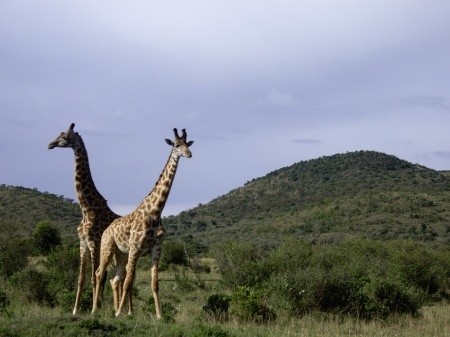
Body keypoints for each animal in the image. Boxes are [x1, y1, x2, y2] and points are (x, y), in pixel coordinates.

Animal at [48, 123, 120, 316]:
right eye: (58, 134)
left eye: (65, 137)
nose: (50, 145)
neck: (86, 208)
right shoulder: (82, 243)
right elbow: (80, 279)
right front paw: (75, 310)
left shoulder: (94, 242)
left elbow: (94, 277)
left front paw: (94, 309)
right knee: (114, 277)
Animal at [92, 127, 194, 316]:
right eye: (176, 145)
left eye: (187, 144)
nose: (189, 154)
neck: (155, 212)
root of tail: (107, 229)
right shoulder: (135, 248)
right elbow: (128, 282)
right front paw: (121, 313)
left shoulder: (156, 249)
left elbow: (154, 284)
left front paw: (159, 315)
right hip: (107, 247)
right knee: (99, 273)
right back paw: (95, 309)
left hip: (121, 254)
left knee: (114, 279)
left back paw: (114, 309)